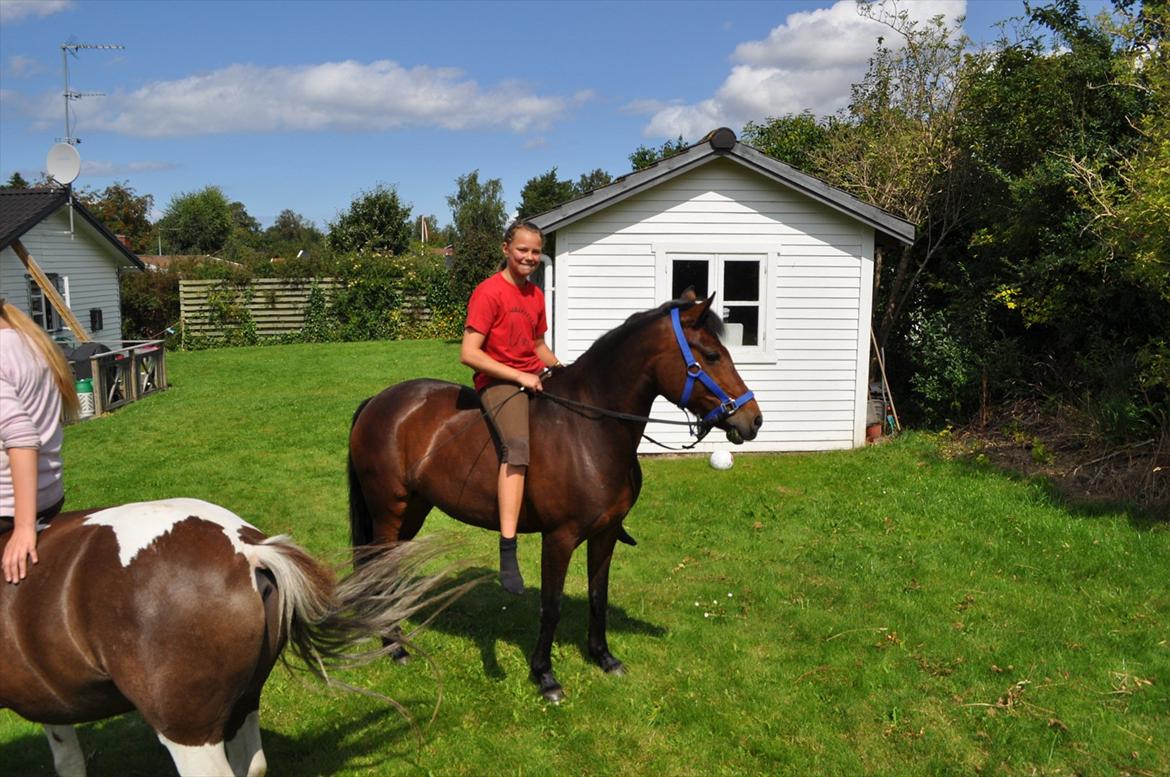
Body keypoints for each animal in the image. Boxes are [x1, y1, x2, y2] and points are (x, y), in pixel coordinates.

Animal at [343, 294, 767, 702]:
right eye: (711, 355)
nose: (753, 419)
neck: (589, 430)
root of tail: (377, 401)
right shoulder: (559, 539)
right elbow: (552, 606)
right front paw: (545, 676)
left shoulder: (605, 535)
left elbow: (598, 596)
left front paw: (604, 657)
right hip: (389, 509)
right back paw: (395, 646)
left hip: (413, 509)